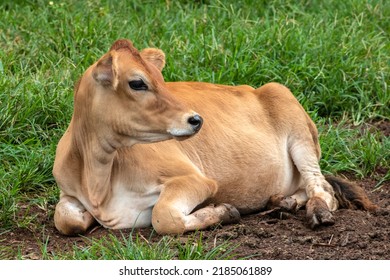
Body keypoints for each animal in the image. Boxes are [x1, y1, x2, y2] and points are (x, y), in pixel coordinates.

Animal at [52, 38, 378, 236]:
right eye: (137, 83)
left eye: (161, 79)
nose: (196, 119)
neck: (98, 179)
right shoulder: (68, 192)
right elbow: (65, 219)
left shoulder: (196, 180)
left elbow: (164, 217)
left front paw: (221, 211)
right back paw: (282, 202)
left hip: (297, 128)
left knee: (321, 187)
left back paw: (316, 211)